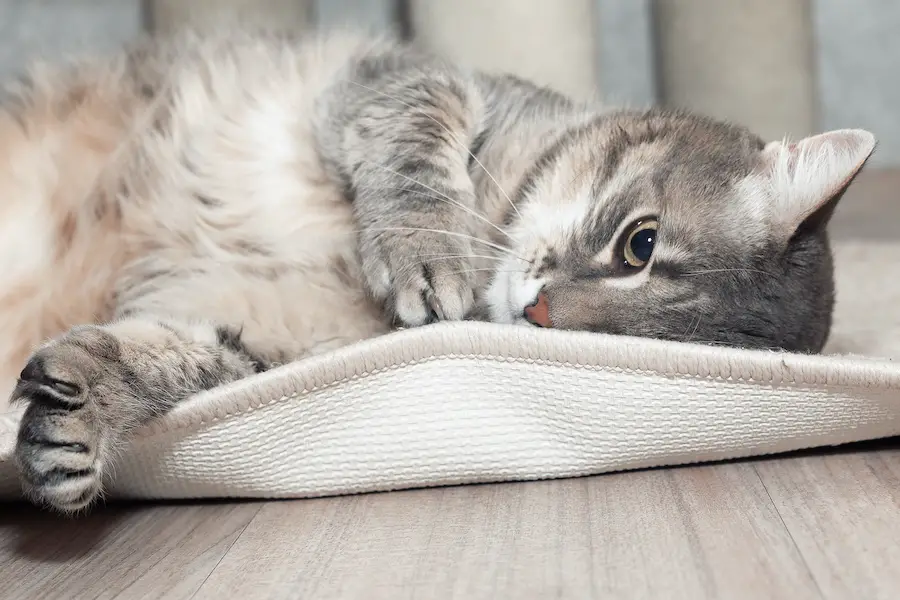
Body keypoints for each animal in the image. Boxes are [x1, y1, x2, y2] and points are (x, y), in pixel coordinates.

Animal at [0, 28, 872, 512]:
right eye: (640, 245)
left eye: (649, 347)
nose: (540, 315)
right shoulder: (388, 81)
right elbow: (421, 133)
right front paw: (423, 245)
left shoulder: (265, 327)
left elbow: (172, 354)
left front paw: (83, 408)